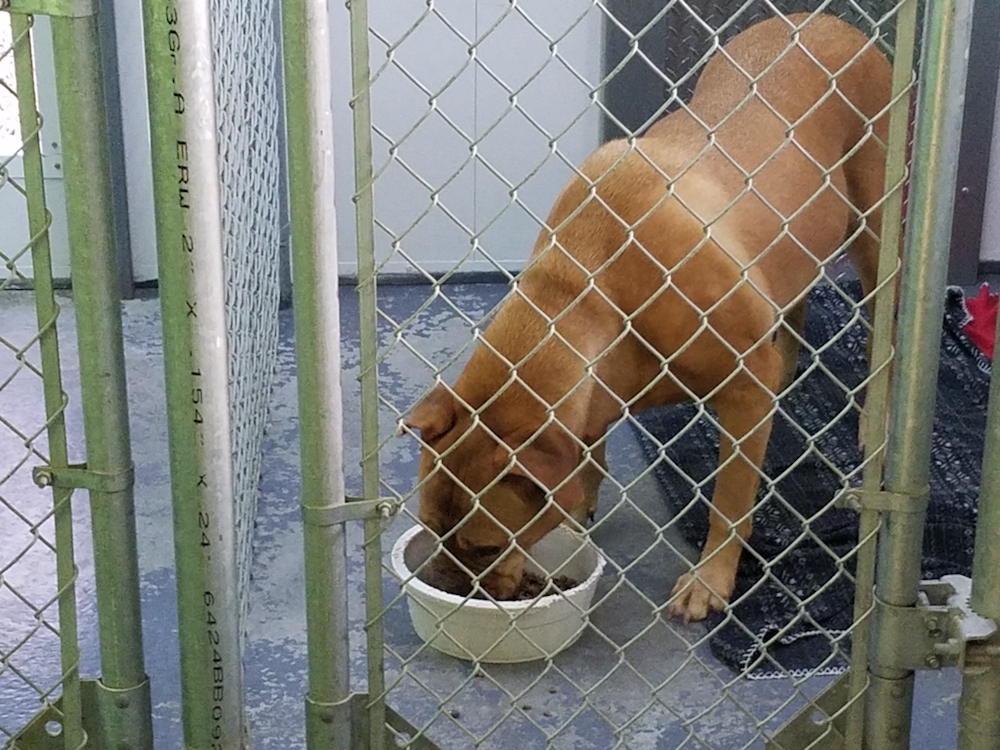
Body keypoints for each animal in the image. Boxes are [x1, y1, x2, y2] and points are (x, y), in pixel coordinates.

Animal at [404, 13, 895, 623]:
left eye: (488, 547)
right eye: (430, 529)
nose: (444, 586)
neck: (585, 288)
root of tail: (825, 21)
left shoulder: (745, 387)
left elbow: (730, 501)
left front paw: (710, 580)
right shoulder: (591, 403)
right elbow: (588, 459)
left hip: (877, 238)